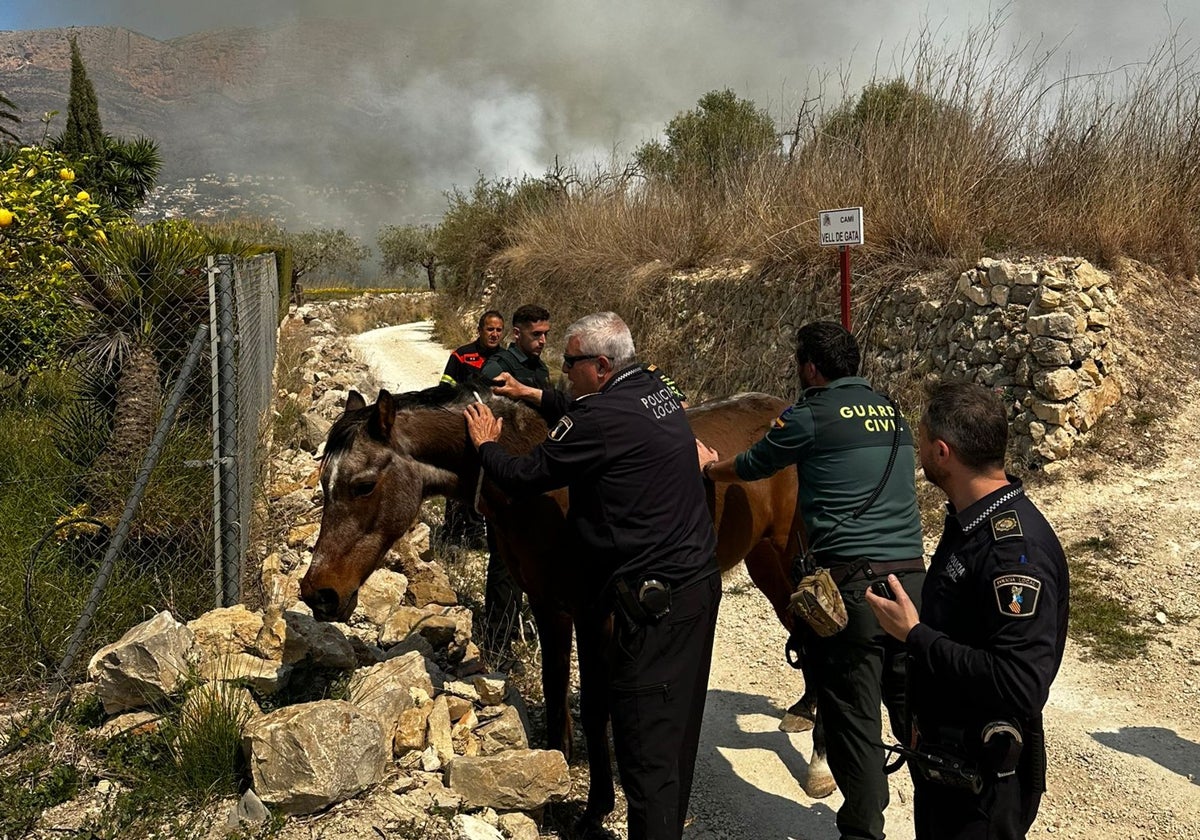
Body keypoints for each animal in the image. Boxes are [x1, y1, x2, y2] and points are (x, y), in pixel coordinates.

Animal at [297, 384, 835, 830]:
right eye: (324, 482)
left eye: (364, 484)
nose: (318, 592)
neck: (539, 480)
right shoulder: (548, 604)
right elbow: (557, 691)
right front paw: (548, 777)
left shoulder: (598, 615)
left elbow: (596, 708)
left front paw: (594, 810)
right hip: (767, 564)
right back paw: (803, 710)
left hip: (797, 561)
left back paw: (820, 762)